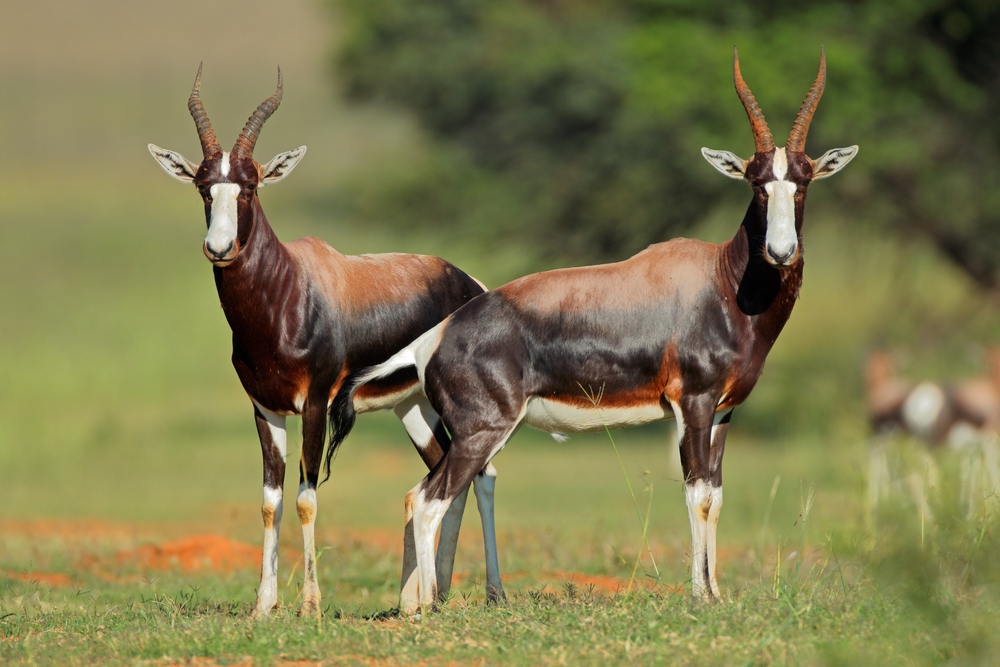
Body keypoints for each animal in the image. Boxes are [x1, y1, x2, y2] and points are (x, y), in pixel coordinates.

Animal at [146, 65, 494, 620]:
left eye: (249, 186)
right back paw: (424, 597)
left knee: (481, 474)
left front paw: (309, 604)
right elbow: (271, 501)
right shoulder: (264, 408)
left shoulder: (314, 404)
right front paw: (263, 605)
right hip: (414, 409)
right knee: (449, 476)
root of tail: (470, 283)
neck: (289, 289)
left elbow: (307, 498)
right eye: (203, 186)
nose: (219, 248)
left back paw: (486, 593)